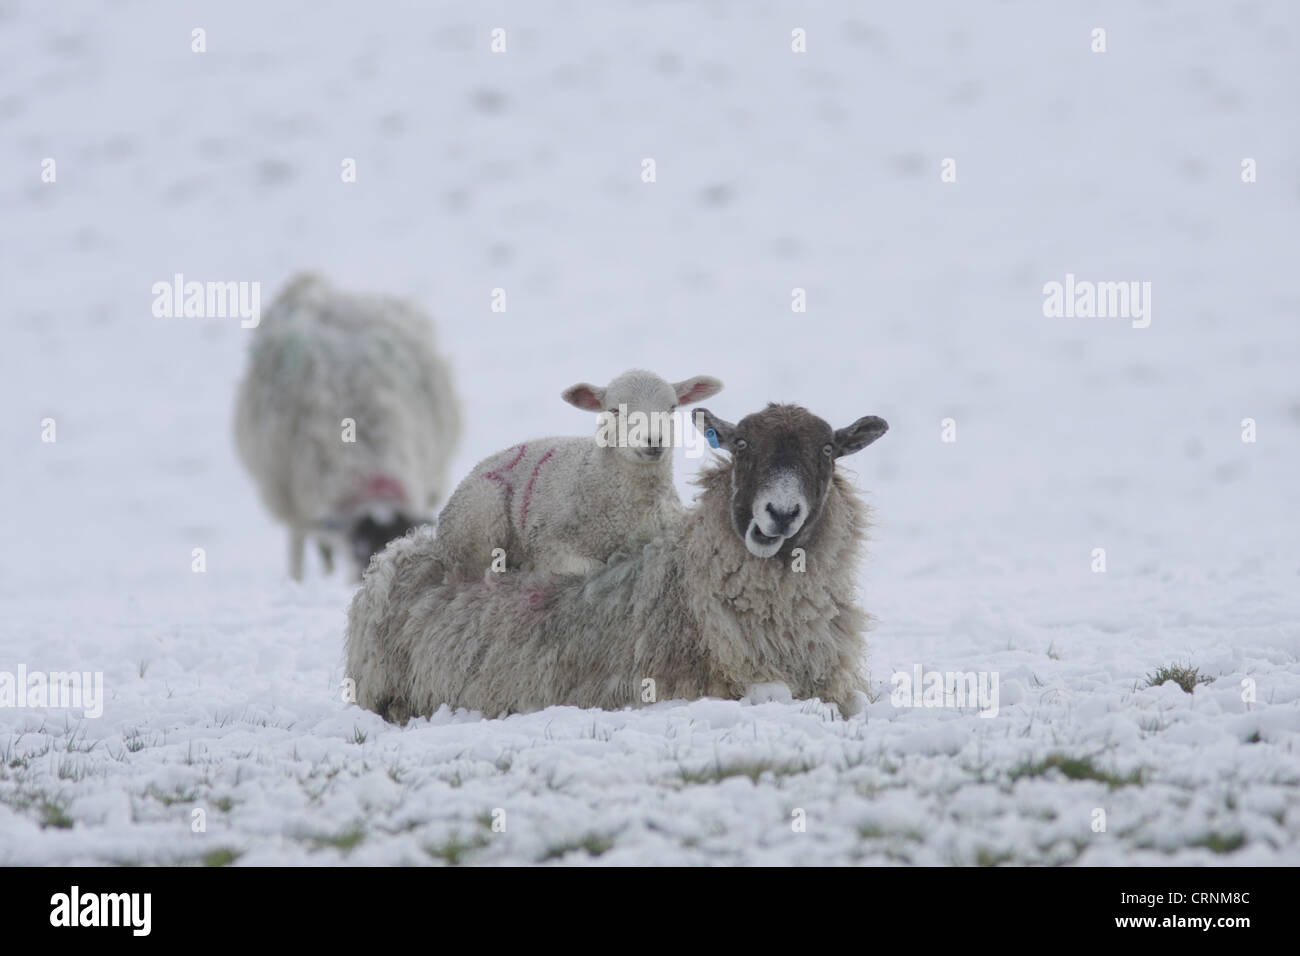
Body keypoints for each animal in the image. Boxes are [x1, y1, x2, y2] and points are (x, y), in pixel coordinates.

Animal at [343, 400, 894, 723]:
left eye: (828, 451)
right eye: (741, 445)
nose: (780, 513)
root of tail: (406, 547)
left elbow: (856, 702)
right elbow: (778, 696)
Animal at [434, 369, 722, 582]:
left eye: (672, 407)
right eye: (614, 410)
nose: (653, 440)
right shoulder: (550, 543)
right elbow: (593, 568)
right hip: (479, 516)